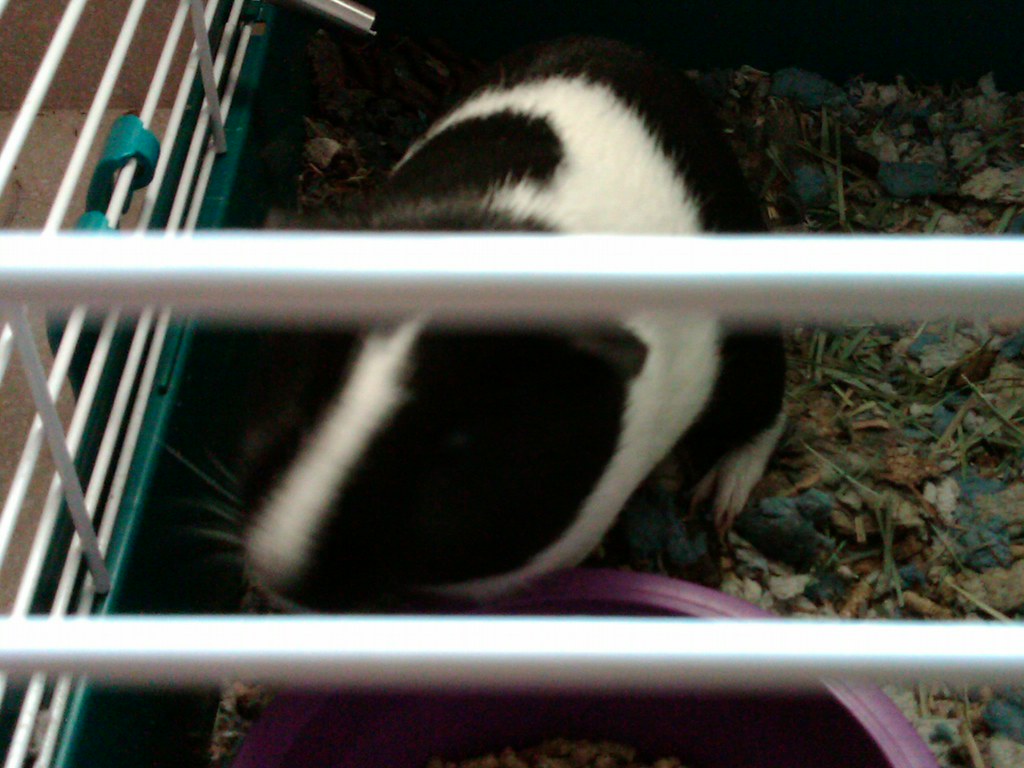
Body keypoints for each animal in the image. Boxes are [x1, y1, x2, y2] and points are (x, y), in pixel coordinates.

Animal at [243, 37, 786, 611]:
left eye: (458, 443)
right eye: (302, 401)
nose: (283, 572)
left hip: (748, 359)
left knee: (767, 416)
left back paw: (717, 501)